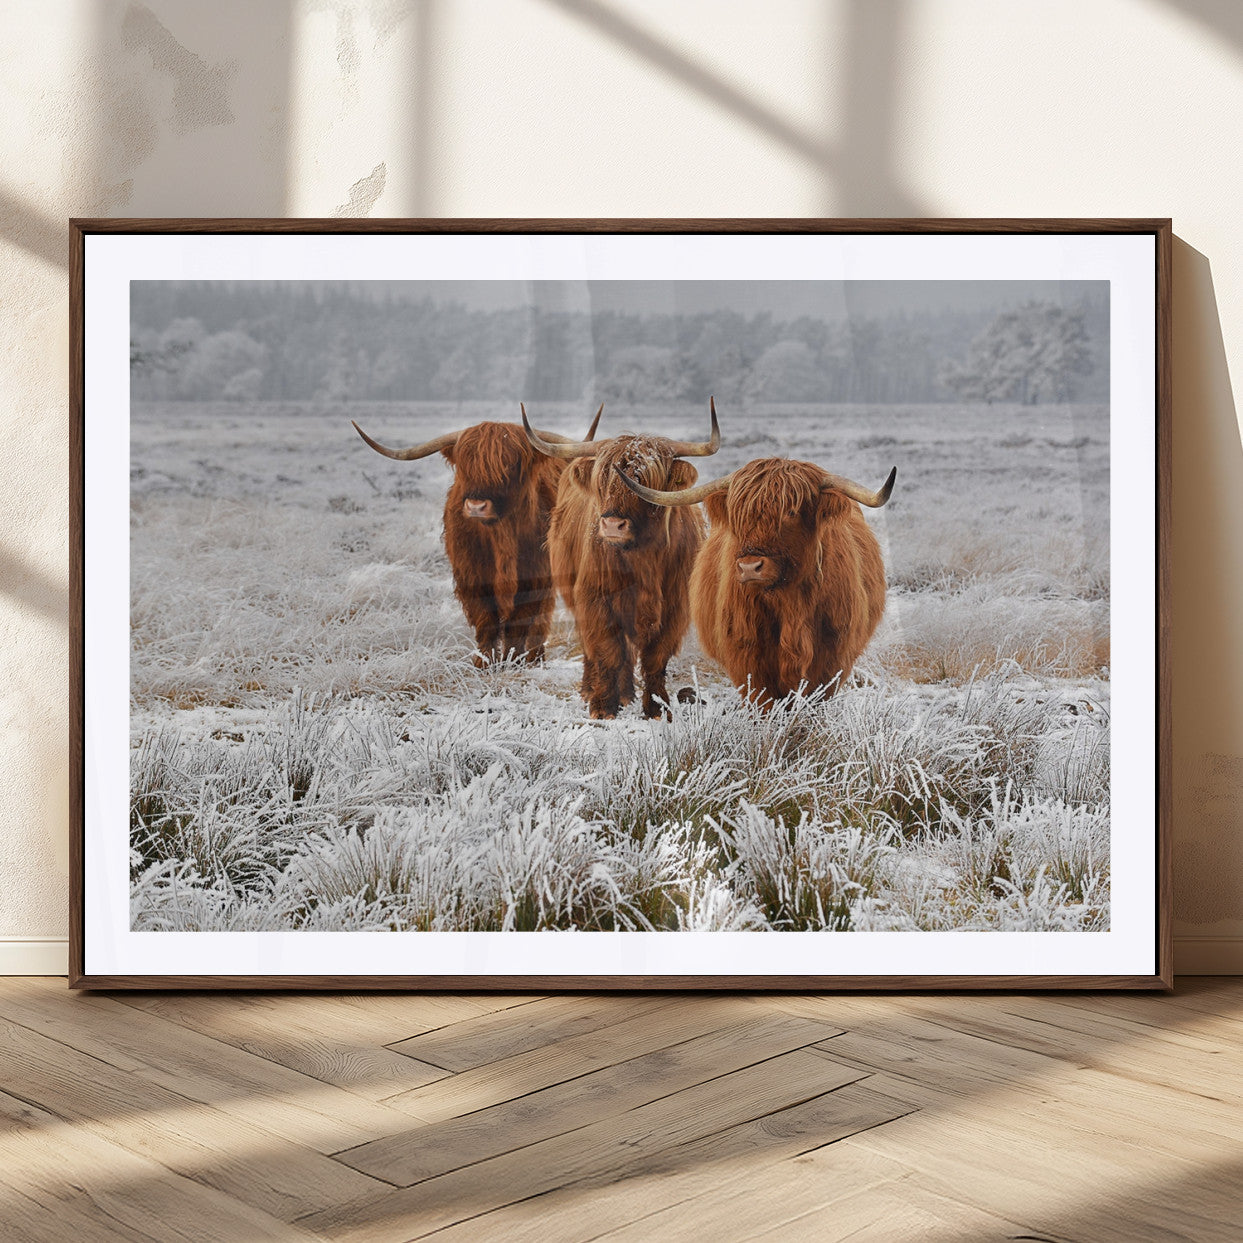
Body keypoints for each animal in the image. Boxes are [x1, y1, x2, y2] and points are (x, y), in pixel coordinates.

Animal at [352, 408, 601, 666]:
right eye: (465, 466)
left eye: (510, 465)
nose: (476, 506)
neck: (501, 537)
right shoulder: (471, 574)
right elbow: (485, 619)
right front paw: (484, 663)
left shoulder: (535, 574)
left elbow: (520, 620)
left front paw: (513, 660)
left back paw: (535, 657)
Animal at [522, 400, 721, 719]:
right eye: (602, 480)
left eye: (645, 481)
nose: (613, 525)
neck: (643, 560)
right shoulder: (595, 599)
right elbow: (608, 652)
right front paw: (603, 707)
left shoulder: (675, 607)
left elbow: (655, 658)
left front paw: (657, 708)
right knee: (597, 649)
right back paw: (593, 690)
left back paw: (627, 694)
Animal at [619, 453, 896, 706]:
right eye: (738, 514)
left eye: (791, 511)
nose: (749, 567)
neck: (790, 604)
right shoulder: (748, 657)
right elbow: (764, 702)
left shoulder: (832, 658)